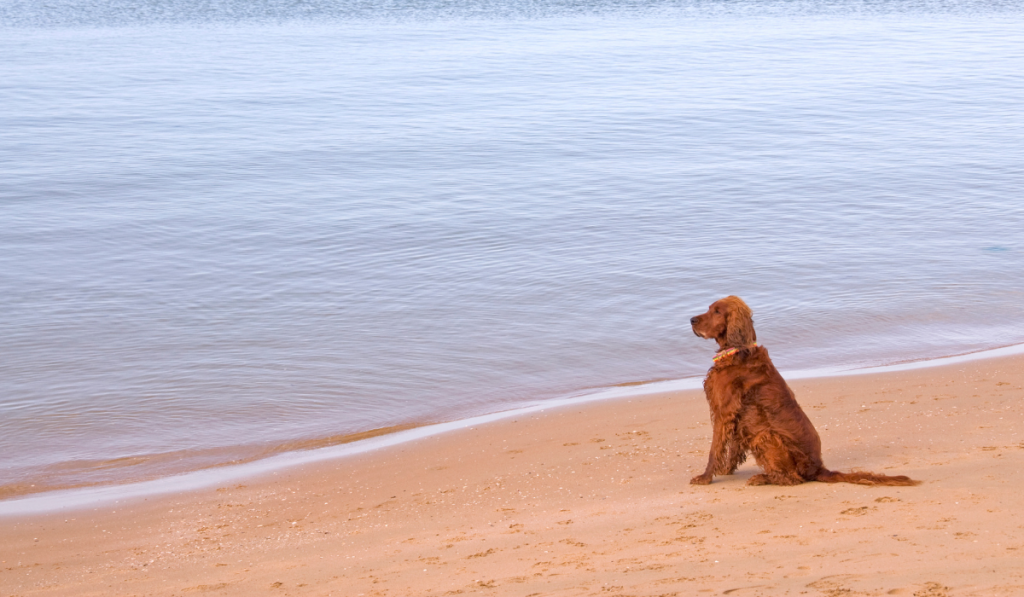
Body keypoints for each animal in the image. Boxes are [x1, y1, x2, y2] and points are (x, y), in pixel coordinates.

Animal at [688, 296, 921, 487]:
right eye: (709, 308)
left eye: (717, 311)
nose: (691, 320)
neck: (738, 352)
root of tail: (819, 469)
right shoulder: (737, 415)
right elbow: (732, 448)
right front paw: (726, 470)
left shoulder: (724, 411)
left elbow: (714, 449)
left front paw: (705, 477)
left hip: (766, 435)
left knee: (793, 478)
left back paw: (763, 478)